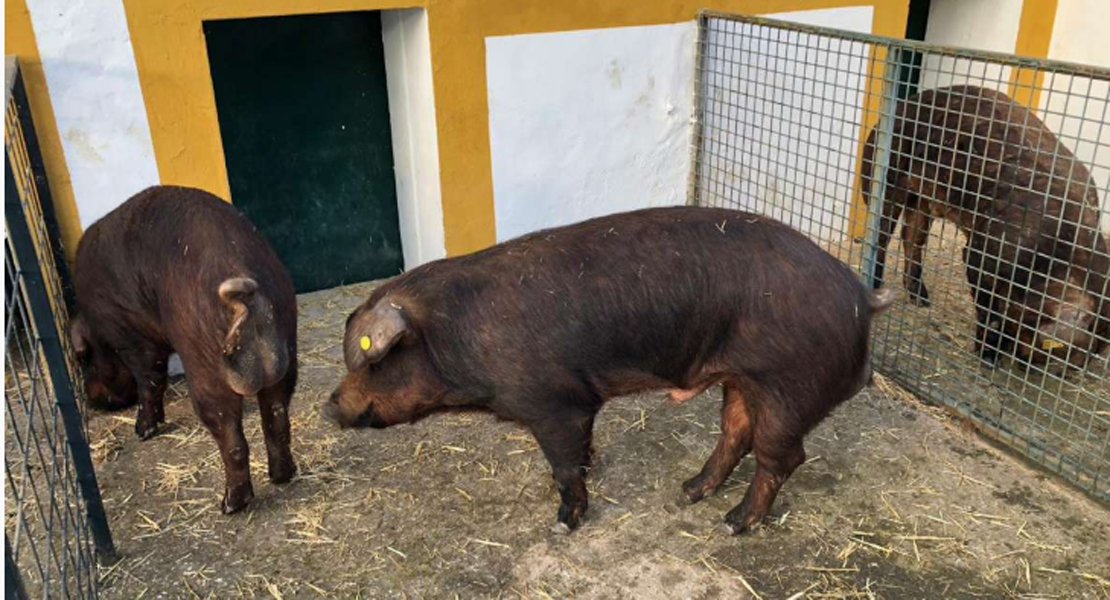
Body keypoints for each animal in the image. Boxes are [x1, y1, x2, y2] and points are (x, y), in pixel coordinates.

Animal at [73, 185, 299, 512]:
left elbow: (150, 380)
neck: (97, 324)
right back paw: (282, 476)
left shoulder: (131, 337)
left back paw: (229, 505)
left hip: (206, 365)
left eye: (84, 359)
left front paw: (143, 431)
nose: (94, 402)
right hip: (286, 344)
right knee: (277, 418)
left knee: (232, 439)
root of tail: (243, 296)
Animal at [321, 207, 892, 532]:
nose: (329, 405)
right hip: (741, 381)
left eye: (373, 362)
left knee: (782, 455)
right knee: (735, 434)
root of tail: (861, 297)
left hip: (788, 387)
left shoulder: (554, 402)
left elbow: (564, 466)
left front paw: (564, 524)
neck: (454, 336)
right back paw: (689, 491)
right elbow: (582, 453)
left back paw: (734, 524)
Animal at [856, 85, 1110, 370]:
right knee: (882, 235)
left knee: (913, 238)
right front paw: (989, 357)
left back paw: (922, 300)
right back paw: (877, 286)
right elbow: (990, 310)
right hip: (884, 180)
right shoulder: (984, 254)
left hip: (923, 200)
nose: (1031, 367)